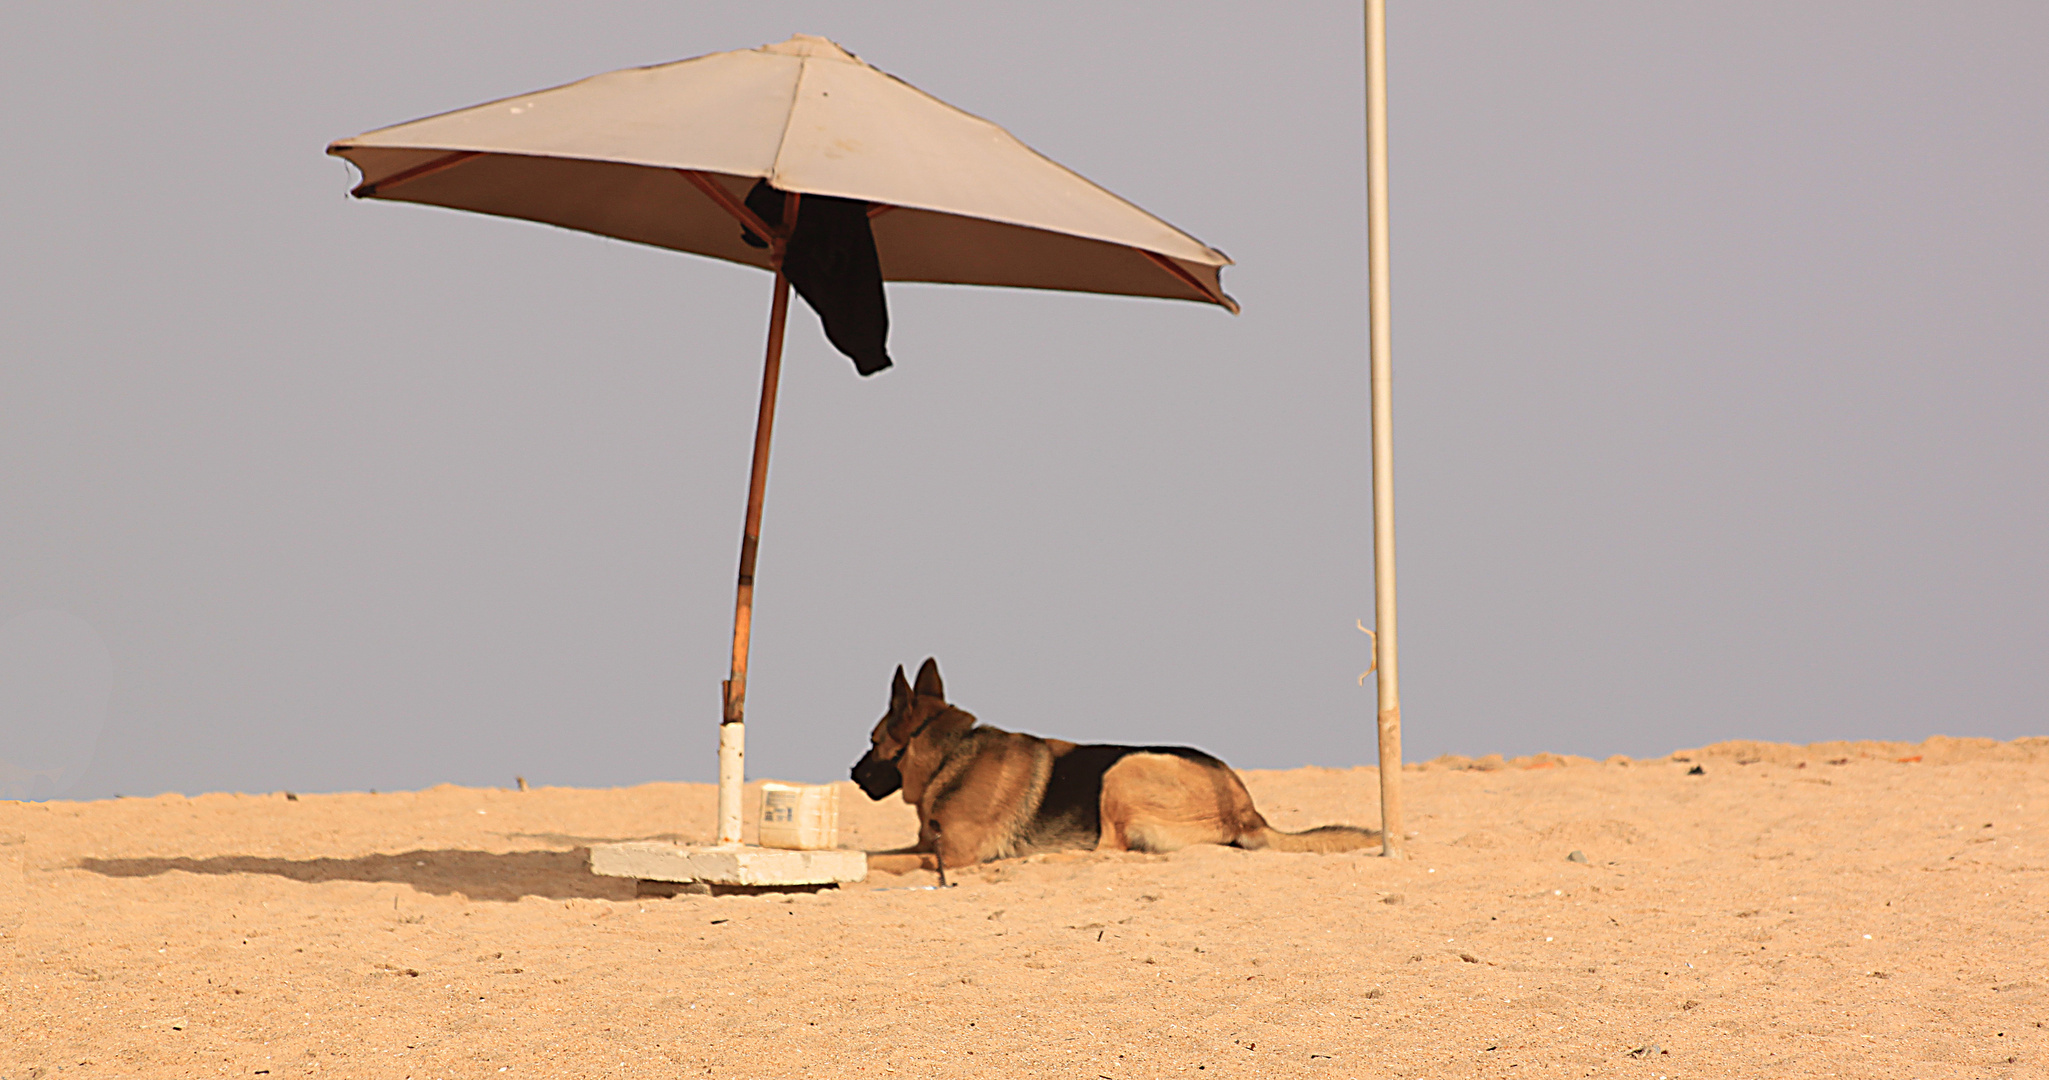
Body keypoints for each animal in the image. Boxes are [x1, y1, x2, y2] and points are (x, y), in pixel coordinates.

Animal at [848, 659, 1376, 877]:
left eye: (872, 741)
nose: (852, 775)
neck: (951, 754)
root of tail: (1248, 812)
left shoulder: (951, 857)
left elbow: (882, 859)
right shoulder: (929, 846)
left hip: (1124, 769)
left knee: (1107, 851)